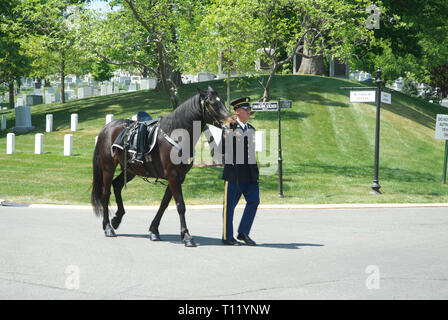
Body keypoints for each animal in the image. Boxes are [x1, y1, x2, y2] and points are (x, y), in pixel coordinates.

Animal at [91, 86, 234, 246]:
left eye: (222, 101)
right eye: (213, 103)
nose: (232, 123)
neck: (176, 135)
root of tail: (106, 128)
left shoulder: (179, 177)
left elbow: (164, 203)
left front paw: (154, 230)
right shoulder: (173, 175)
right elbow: (180, 205)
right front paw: (187, 236)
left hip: (131, 170)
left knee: (116, 185)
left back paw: (116, 219)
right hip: (108, 167)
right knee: (105, 193)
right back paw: (108, 227)